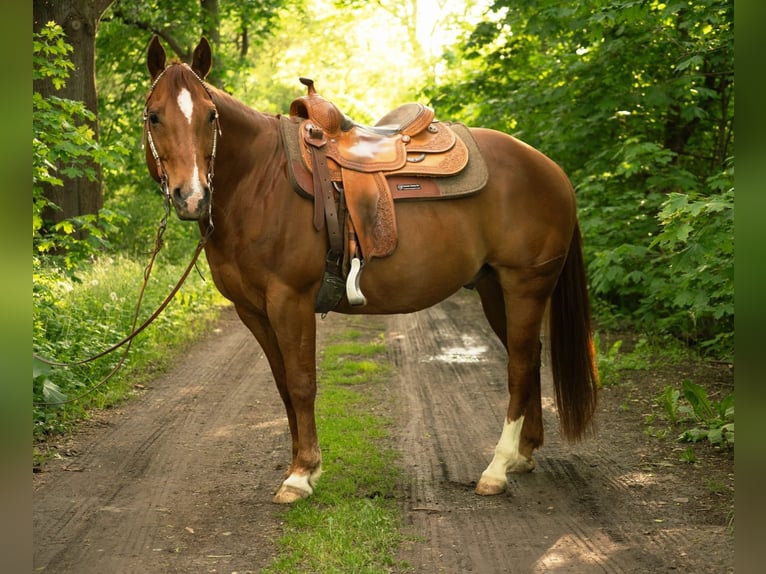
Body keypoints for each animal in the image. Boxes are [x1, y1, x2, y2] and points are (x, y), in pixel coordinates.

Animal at [142, 36, 598, 504]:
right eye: (153, 116)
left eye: (211, 115)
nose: (192, 197)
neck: (259, 181)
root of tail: (552, 169)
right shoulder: (251, 311)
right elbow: (284, 385)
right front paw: (299, 464)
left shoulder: (291, 300)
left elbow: (302, 382)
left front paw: (302, 474)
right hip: (494, 289)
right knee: (530, 359)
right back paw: (524, 454)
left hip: (526, 285)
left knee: (520, 366)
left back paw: (498, 468)